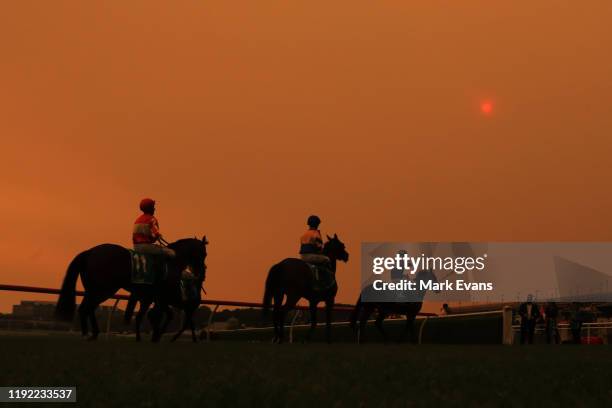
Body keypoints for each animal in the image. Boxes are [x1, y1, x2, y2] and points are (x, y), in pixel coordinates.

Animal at [55, 236, 208, 342]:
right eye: (204, 253)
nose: (202, 272)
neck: (172, 263)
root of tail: (89, 252)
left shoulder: (154, 298)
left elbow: (152, 315)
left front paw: (153, 336)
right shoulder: (161, 297)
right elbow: (159, 315)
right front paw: (156, 336)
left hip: (94, 289)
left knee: (87, 308)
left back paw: (92, 334)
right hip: (104, 289)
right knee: (86, 308)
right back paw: (88, 334)